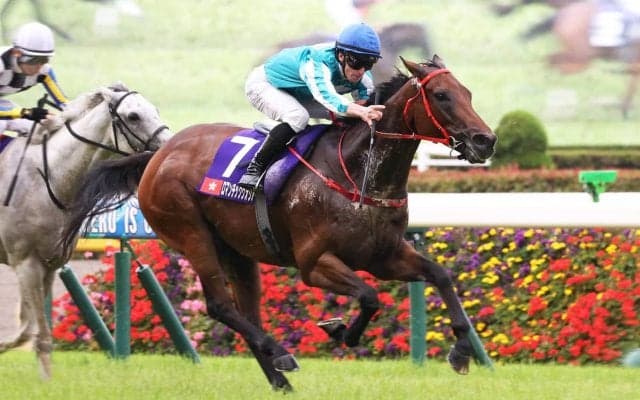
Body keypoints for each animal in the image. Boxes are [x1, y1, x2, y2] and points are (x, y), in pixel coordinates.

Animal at [0, 83, 172, 379]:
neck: (49, 181)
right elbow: (38, 334)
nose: (168, 145)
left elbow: (28, 330)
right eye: (133, 116)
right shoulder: (26, 263)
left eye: (156, 110)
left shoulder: (48, 265)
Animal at [60, 56, 496, 391]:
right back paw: (283, 355)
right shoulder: (314, 263)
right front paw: (340, 330)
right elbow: (370, 296)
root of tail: (157, 156)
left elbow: (440, 275)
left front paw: (461, 351)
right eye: (441, 96)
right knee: (219, 305)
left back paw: (280, 379)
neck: (358, 172)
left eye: (469, 93)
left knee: (246, 313)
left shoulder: (384, 256)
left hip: (237, 251)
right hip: (191, 233)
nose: (485, 140)